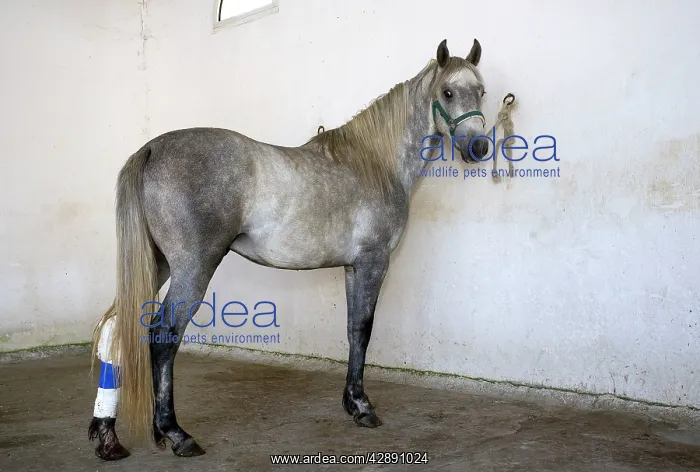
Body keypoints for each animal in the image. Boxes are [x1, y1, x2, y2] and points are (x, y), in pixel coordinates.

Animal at [88, 38, 489, 461]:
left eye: (481, 91)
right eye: (447, 92)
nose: (479, 147)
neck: (375, 164)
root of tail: (151, 149)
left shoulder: (352, 268)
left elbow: (352, 330)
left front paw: (352, 403)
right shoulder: (373, 263)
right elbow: (364, 329)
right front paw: (363, 407)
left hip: (158, 264)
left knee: (113, 329)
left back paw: (108, 436)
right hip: (192, 268)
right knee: (163, 338)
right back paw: (175, 433)